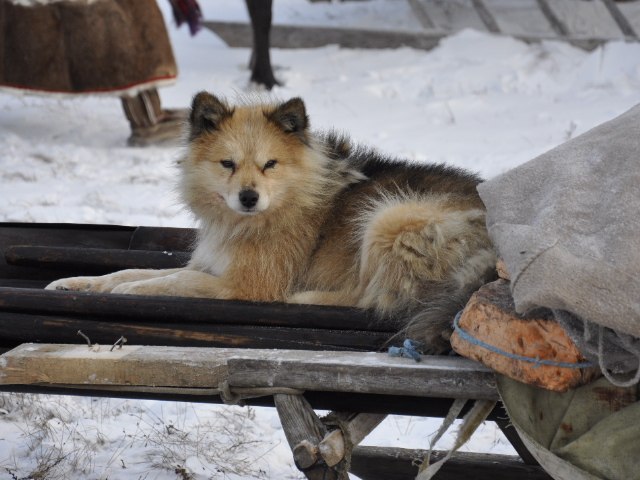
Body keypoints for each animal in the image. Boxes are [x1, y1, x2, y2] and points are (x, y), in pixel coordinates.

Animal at [47, 91, 498, 352]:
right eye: (227, 164)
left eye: (269, 164)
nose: (248, 197)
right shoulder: (210, 263)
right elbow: (129, 271)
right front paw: (77, 284)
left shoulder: (244, 285)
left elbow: (169, 281)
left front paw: (134, 292)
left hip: (390, 217)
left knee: (369, 298)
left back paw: (307, 298)